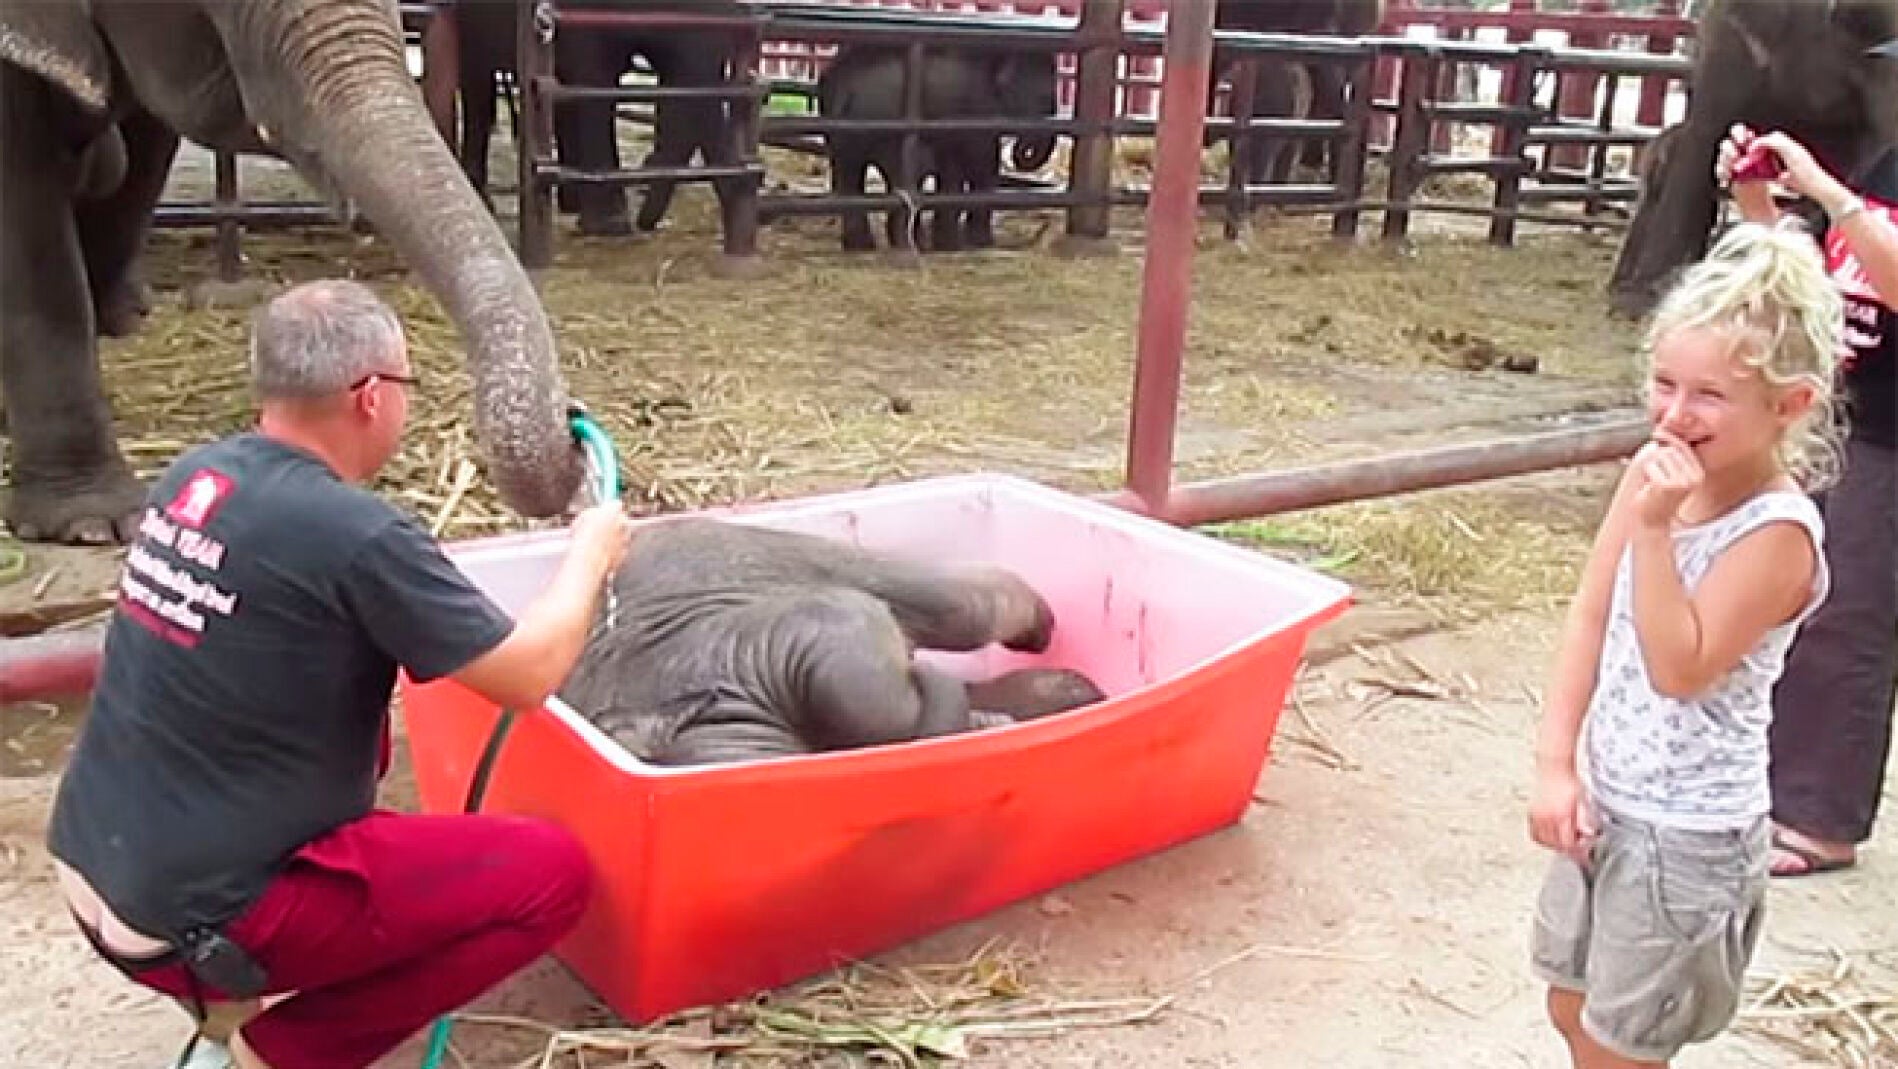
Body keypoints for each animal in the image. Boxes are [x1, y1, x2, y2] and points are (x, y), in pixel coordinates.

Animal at [446, 0, 744, 237]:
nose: (645, 224)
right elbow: (595, 78)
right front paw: (611, 225)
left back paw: (570, 202)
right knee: (478, 89)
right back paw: (485, 199)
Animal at [816, 45, 1060, 254]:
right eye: (1045, 98)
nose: (1020, 150)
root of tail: (848, 85)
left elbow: (953, 169)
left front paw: (950, 243)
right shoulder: (976, 108)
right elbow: (982, 162)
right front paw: (977, 243)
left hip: (841, 129)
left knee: (849, 174)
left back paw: (862, 245)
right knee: (905, 173)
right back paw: (910, 244)